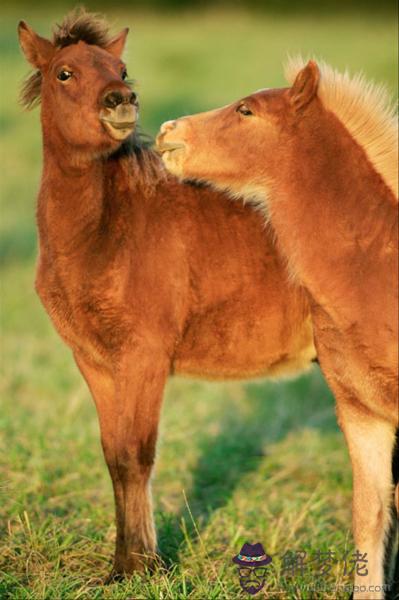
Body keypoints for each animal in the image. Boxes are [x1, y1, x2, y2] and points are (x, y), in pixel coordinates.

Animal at [18, 11, 316, 580]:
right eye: (64, 73)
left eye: (120, 69)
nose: (120, 101)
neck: (109, 231)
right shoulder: (95, 362)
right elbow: (115, 458)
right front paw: (124, 564)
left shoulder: (145, 357)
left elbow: (138, 455)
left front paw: (143, 567)